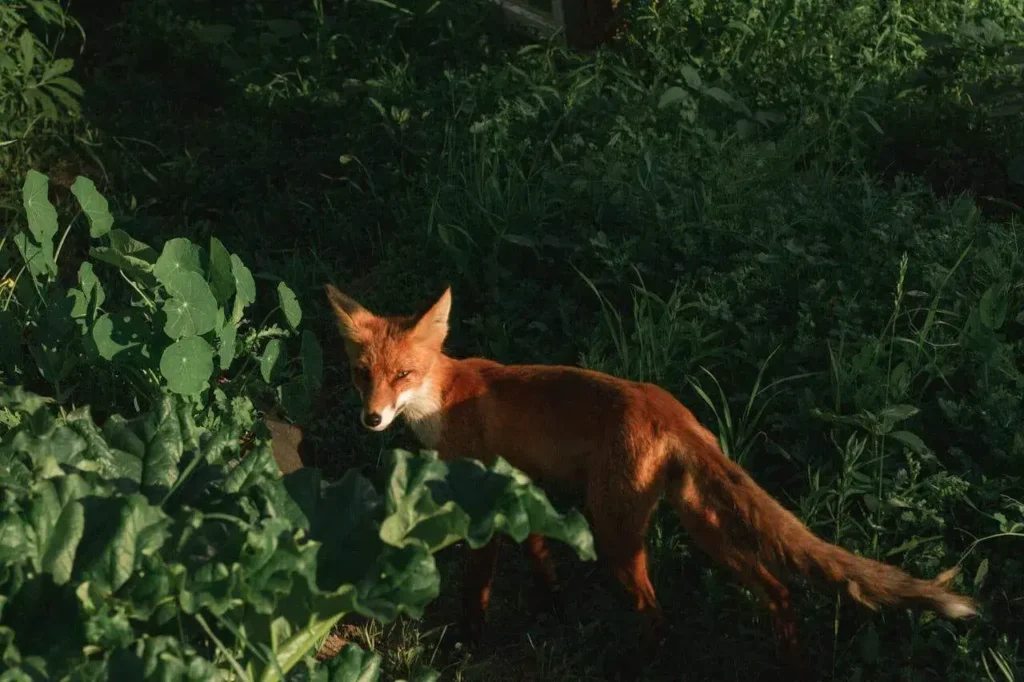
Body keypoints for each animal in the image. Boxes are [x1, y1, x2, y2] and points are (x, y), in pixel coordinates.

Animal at [324, 283, 978, 676]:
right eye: (362, 375)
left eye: (403, 375)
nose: (372, 418)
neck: (443, 401)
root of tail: (666, 407)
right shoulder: (521, 492)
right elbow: (540, 558)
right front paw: (553, 609)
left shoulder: (482, 504)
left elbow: (475, 589)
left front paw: (467, 643)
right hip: (704, 528)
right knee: (779, 589)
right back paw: (790, 665)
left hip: (616, 535)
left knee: (659, 616)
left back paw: (645, 663)